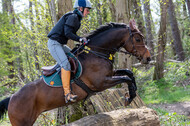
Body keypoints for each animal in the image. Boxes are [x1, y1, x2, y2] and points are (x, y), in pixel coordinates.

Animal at [0, 19, 151, 125]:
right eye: (138, 39)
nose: (148, 58)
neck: (97, 53)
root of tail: (11, 98)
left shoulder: (110, 74)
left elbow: (129, 73)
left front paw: (132, 93)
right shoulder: (101, 83)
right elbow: (127, 78)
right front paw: (129, 98)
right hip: (22, 122)